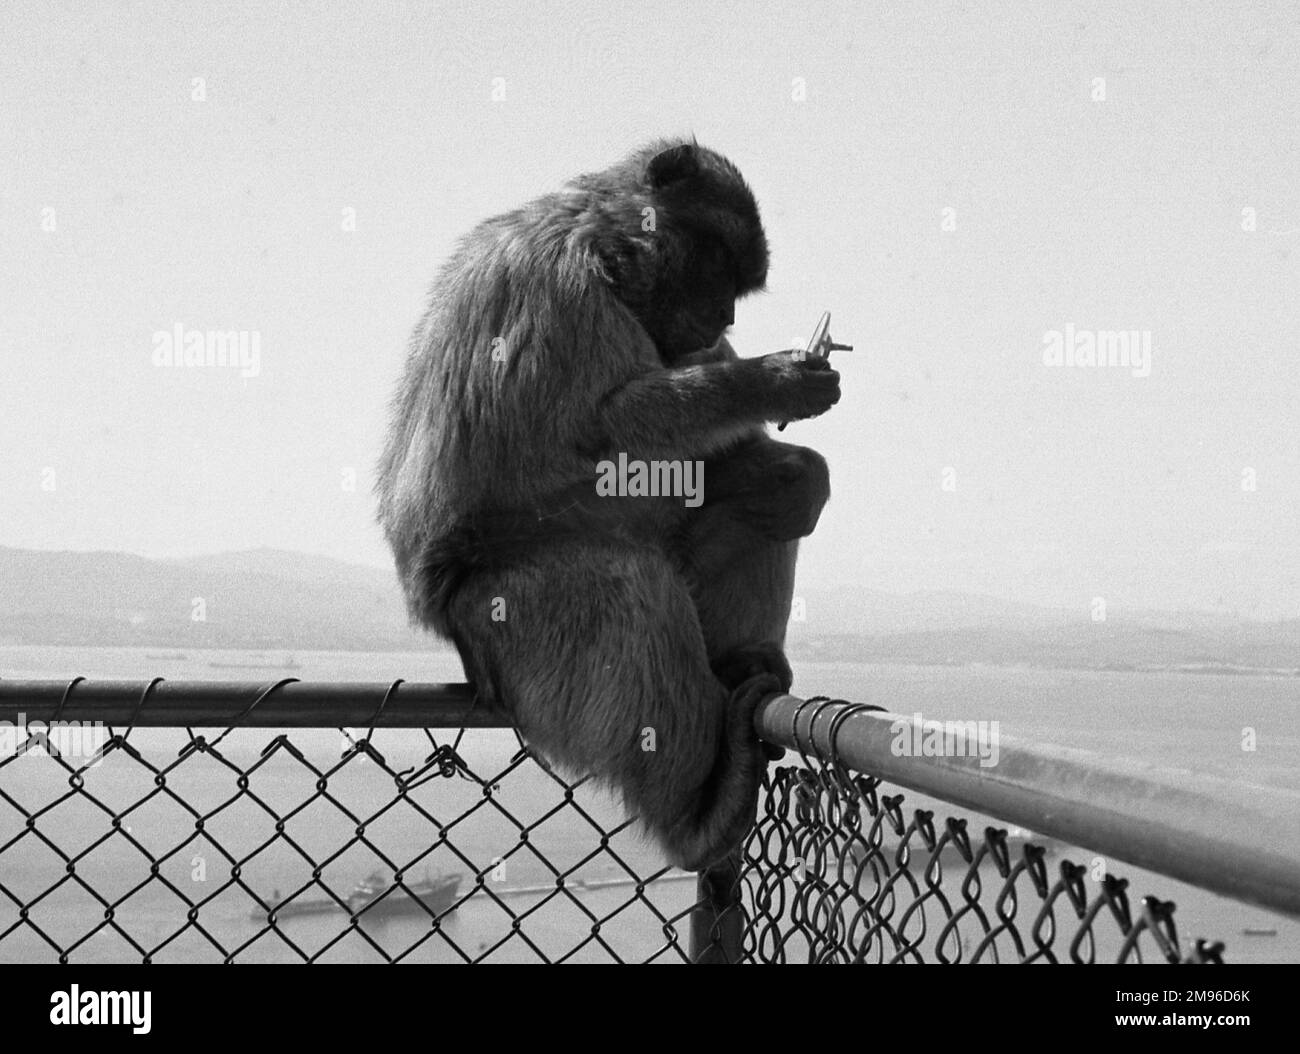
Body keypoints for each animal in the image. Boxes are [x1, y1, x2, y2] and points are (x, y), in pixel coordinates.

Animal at [379, 135, 837, 868]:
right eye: (719, 265)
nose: (726, 316)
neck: (602, 245)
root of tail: (447, 628)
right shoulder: (557, 288)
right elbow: (610, 426)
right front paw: (775, 379)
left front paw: (803, 463)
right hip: (507, 616)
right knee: (628, 584)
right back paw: (702, 813)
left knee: (763, 494)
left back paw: (742, 669)